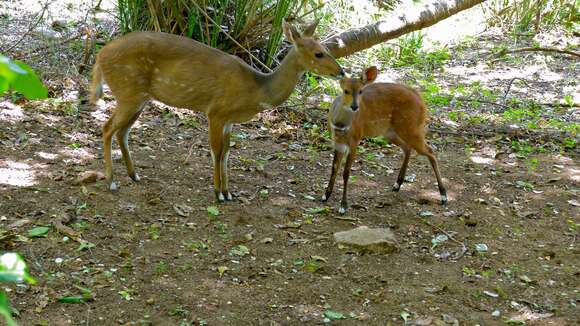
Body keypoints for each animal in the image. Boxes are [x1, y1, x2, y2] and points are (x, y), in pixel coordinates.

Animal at [90, 21, 344, 201]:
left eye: (326, 48)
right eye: (319, 53)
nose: (341, 72)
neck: (256, 90)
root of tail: (100, 56)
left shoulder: (229, 119)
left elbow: (227, 152)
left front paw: (229, 192)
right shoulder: (216, 111)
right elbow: (216, 150)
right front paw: (218, 193)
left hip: (139, 98)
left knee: (122, 132)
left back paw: (134, 175)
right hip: (129, 92)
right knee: (107, 128)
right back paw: (111, 181)